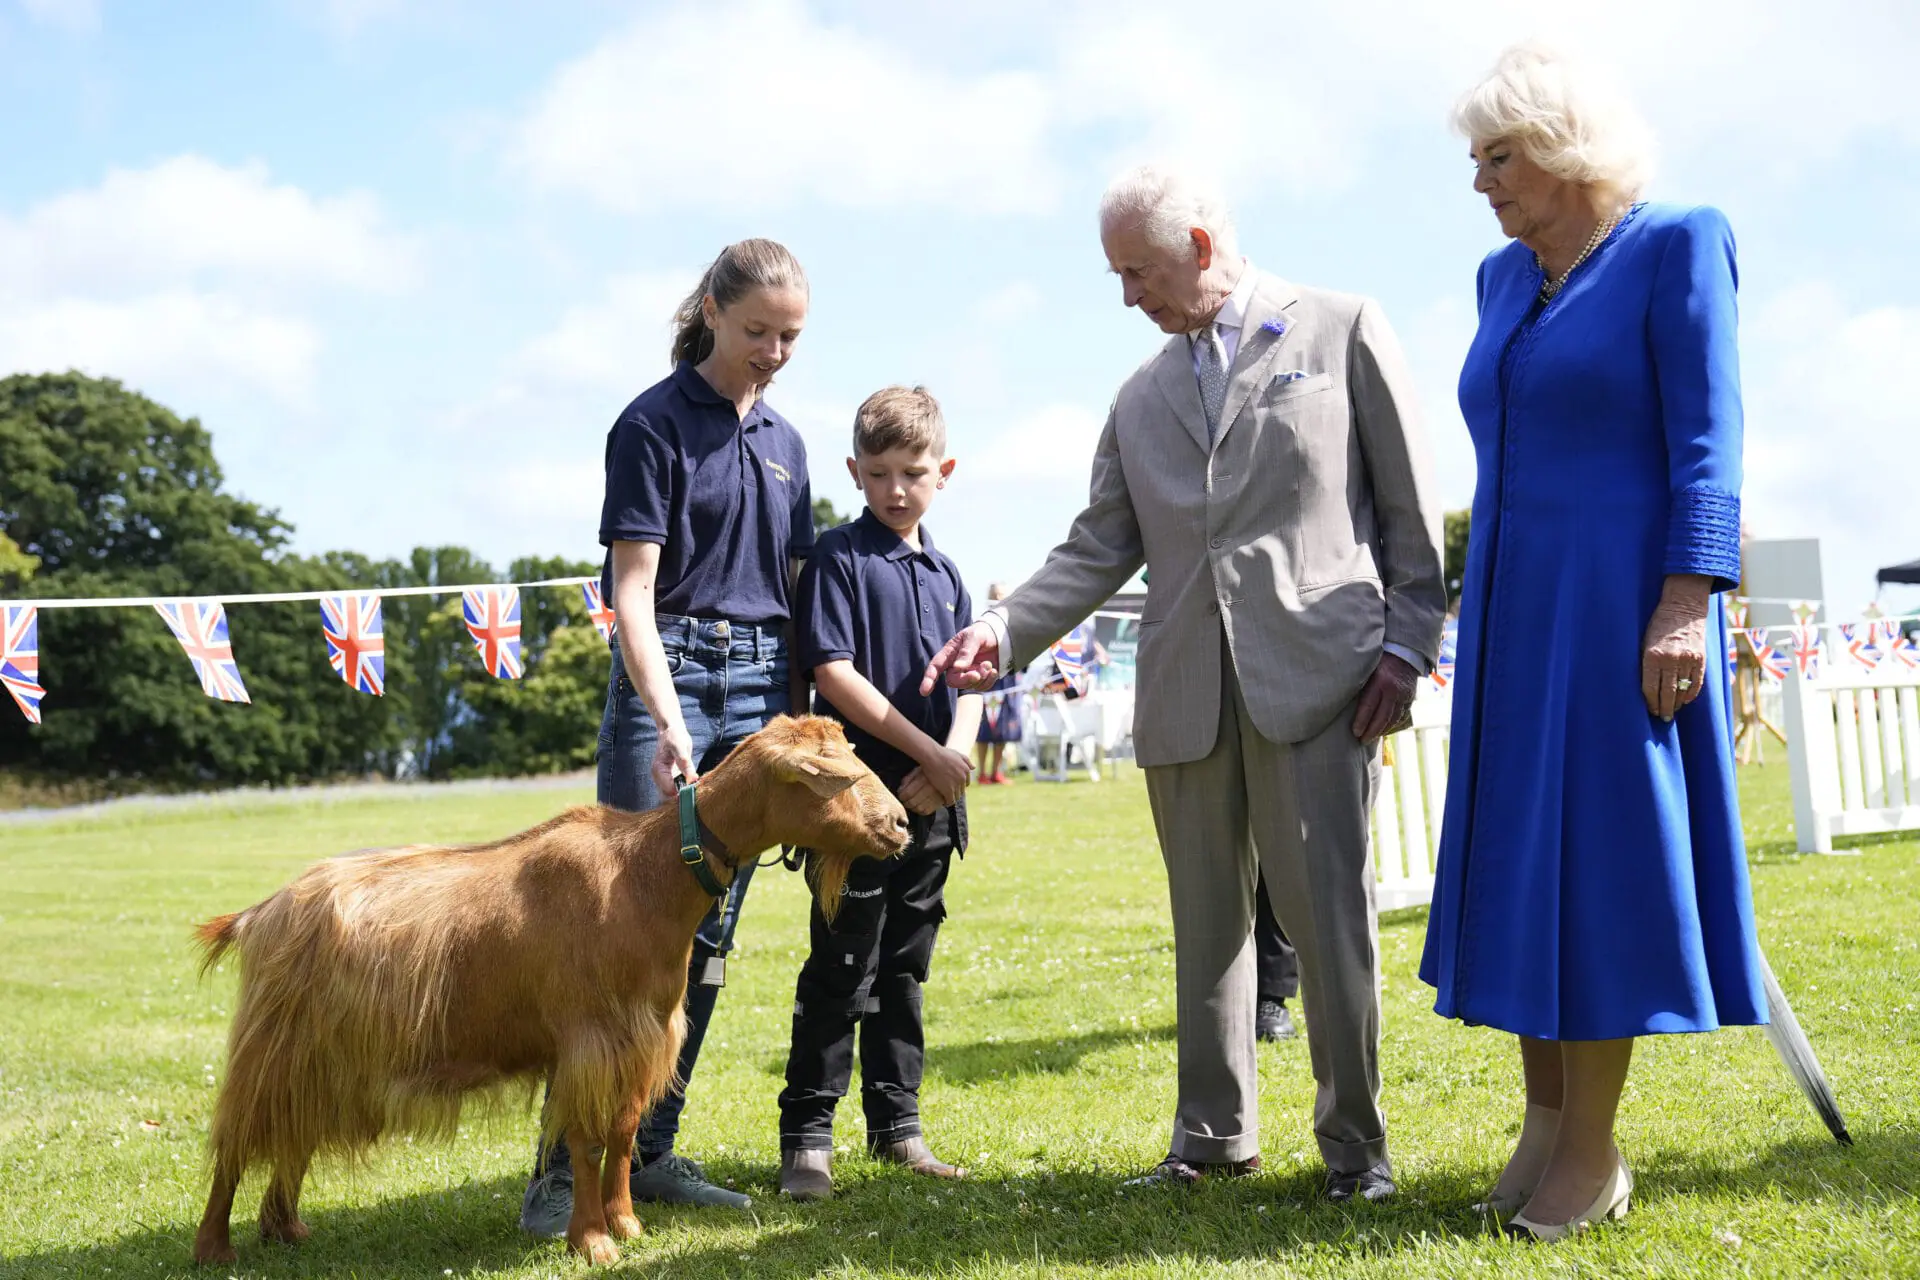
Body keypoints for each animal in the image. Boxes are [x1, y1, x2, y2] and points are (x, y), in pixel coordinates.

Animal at [187, 717, 906, 1266]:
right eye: (833, 775)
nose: (900, 825)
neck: (645, 874)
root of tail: (260, 912)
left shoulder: (642, 1037)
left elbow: (622, 1133)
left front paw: (626, 1224)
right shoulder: (589, 1039)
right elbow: (584, 1142)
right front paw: (592, 1242)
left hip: (321, 1056)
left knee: (294, 1131)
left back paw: (284, 1228)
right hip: (274, 1045)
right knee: (238, 1139)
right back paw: (215, 1248)